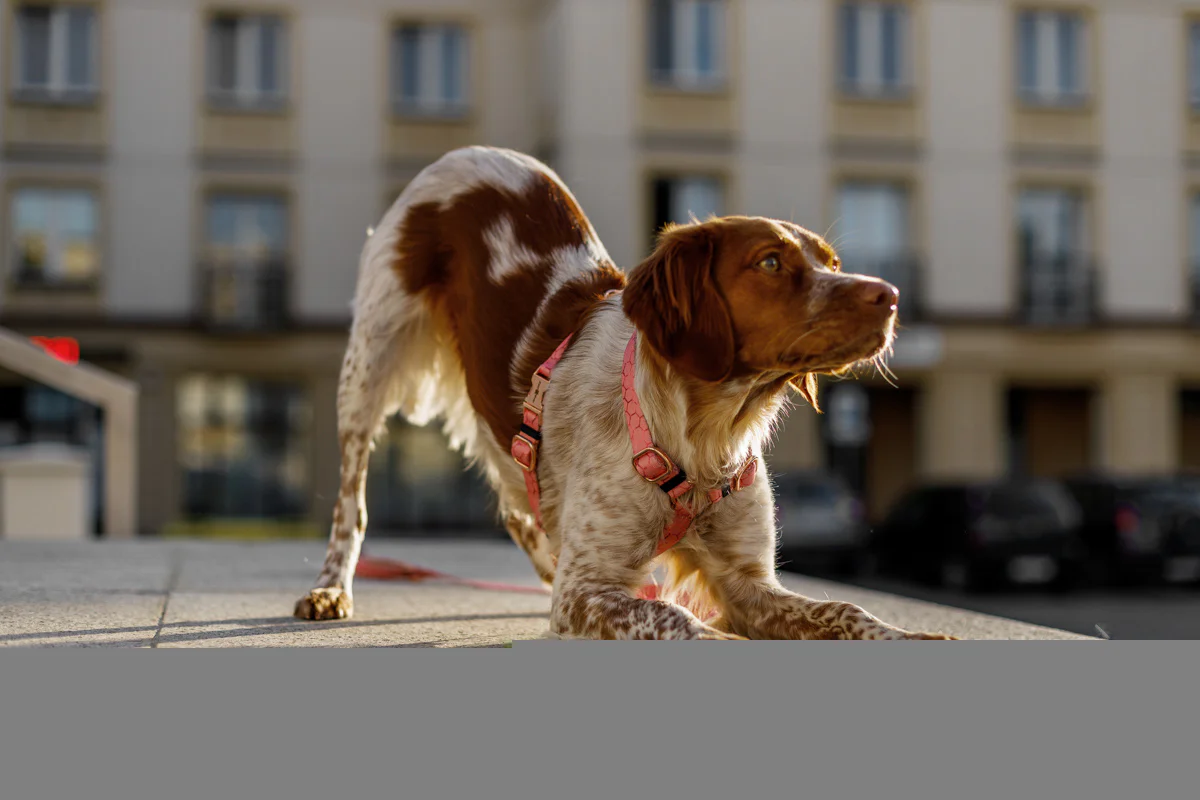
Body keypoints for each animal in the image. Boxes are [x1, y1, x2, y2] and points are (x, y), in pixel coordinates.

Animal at [294, 145, 954, 640]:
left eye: (833, 263)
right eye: (769, 262)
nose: (891, 297)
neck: (700, 434)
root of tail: (468, 152)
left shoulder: (747, 582)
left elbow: (845, 608)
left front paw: (914, 637)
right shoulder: (588, 591)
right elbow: (678, 619)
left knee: (518, 506)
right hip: (367, 366)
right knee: (351, 502)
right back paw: (329, 588)